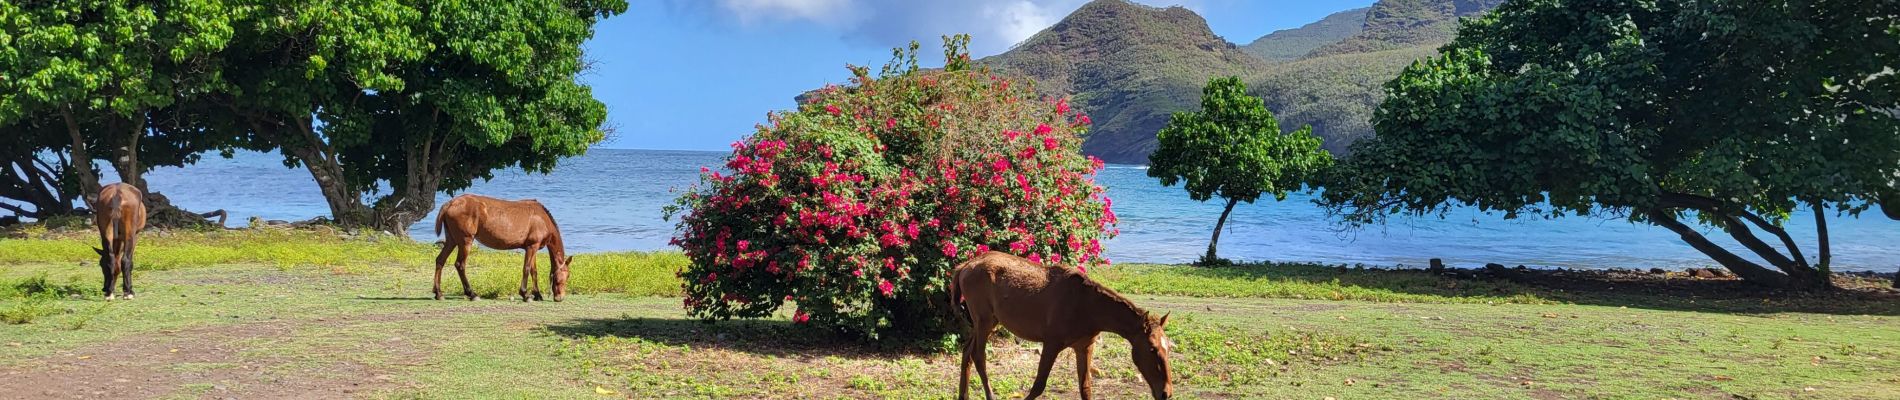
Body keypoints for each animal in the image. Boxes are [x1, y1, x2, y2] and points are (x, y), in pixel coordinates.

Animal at [433, 193, 570, 299]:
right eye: (565, 276)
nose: (560, 298)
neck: (542, 219)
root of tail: (450, 203)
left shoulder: (532, 248)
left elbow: (533, 271)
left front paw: (537, 294)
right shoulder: (532, 247)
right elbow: (526, 268)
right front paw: (525, 294)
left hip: (452, 240)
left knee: (440, 260)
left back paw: (438, 293)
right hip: (465, 241)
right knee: (460, 265)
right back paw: (471, 294)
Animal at [950, 252, 1170, 398]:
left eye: (1167, 347)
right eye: (1152, 349)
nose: (1166, 392)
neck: (1088, 307)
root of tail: (965, 266)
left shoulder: (1084, 347)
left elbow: (1086, 389)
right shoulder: (1051, 344)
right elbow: (1038, 386)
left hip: (986, 322)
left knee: (967, 352)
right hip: (984, 321)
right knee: (978, 356)